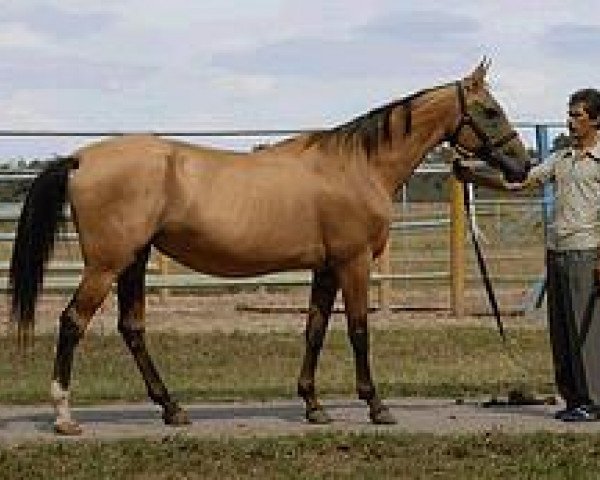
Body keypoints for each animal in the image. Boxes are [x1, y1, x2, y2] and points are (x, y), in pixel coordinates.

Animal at [9, 60, 528, 436]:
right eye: (490, 111)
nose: (521, 165)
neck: (357, 166)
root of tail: (79, 158)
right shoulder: (353, 263)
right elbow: (358, 330)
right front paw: (376, 405)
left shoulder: (326, 268)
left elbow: (315, 330)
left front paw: (314, 405)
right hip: (106, 265)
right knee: (71, 322)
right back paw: (64, 417)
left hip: (134, 262)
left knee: (132, 329)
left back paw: (172, 408)